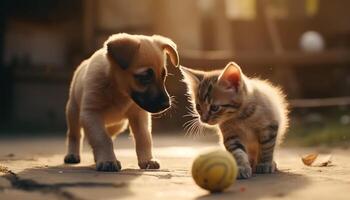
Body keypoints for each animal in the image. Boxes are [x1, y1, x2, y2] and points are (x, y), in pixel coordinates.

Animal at [63, 33, 179, 171]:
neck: (118, 90)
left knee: (108, 134)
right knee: (74, 135)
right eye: (144, 77)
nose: (166, 105)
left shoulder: (139, 115)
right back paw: (72, 154)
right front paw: (108, 160)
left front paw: (148, 160)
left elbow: (144, 137)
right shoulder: (91, 113)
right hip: (73, 112)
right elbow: (102, 138)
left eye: (163, 76)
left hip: (117, 125)